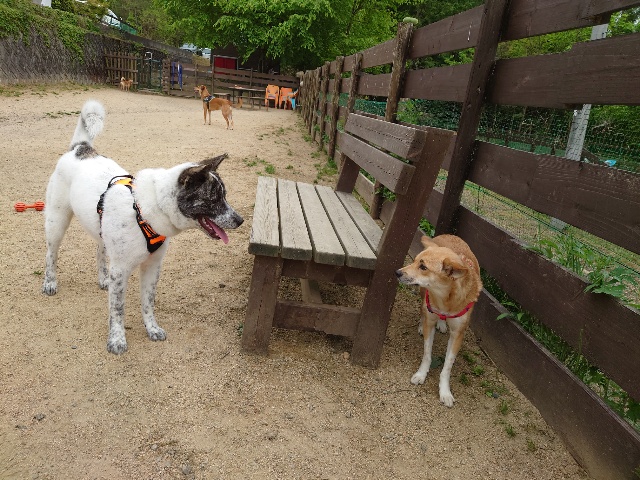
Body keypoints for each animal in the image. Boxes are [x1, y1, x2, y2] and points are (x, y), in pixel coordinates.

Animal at [42, 100, 244, 354]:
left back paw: (103, 279)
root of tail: (80, 149)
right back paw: (50, 282)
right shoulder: (121, 270)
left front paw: (152, 328)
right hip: (57, 221)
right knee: (51, 253)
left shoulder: (152, 266)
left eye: (224, 196)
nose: (240, 220)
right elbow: (117, 309)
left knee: (99, 250)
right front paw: (117, 340)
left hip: (100, 229)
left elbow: (148, 302)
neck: (147, 209)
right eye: (215, 198)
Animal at [396, 235, 482, 407]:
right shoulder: (430, 319)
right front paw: (421, 374)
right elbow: (427, 353)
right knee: (423, 309)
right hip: (423, 293)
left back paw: (442, 323)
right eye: (415, 261)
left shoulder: (458, 333)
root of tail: (449, 235)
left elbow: (448, 364)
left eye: (423, 267)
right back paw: (422, 325)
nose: (397, 272)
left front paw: (445, 391)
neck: (445, 299)